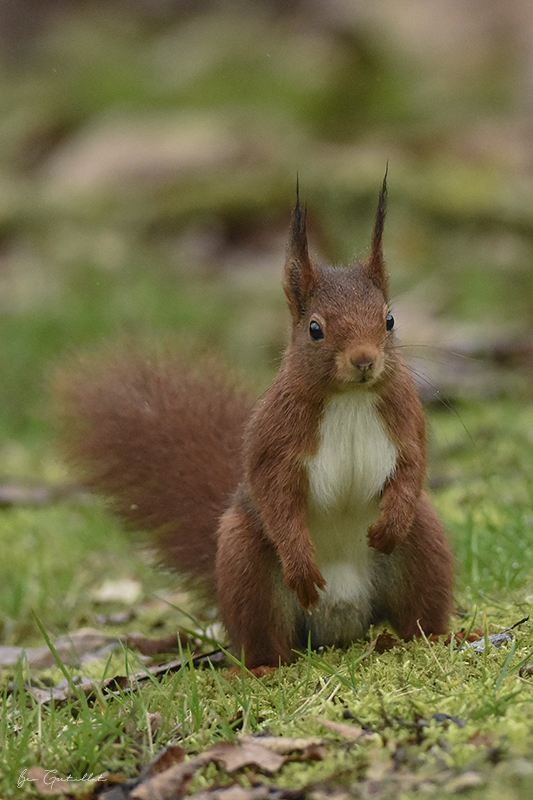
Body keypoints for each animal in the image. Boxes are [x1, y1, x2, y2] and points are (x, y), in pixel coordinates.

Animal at [55, 175, 454, 668]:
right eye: (315, 329)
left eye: (390, 320)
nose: (364, 360)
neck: (350, 398)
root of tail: (341, 626)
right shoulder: (275, 440)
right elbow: (274, 494)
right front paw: (300, 562)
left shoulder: (406, 420)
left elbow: (414, 466)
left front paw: (390, 523)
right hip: (245, 561)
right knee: (264, 642)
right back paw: (258, 671)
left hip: (424, 543)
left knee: (418, 612)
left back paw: (440, 636)